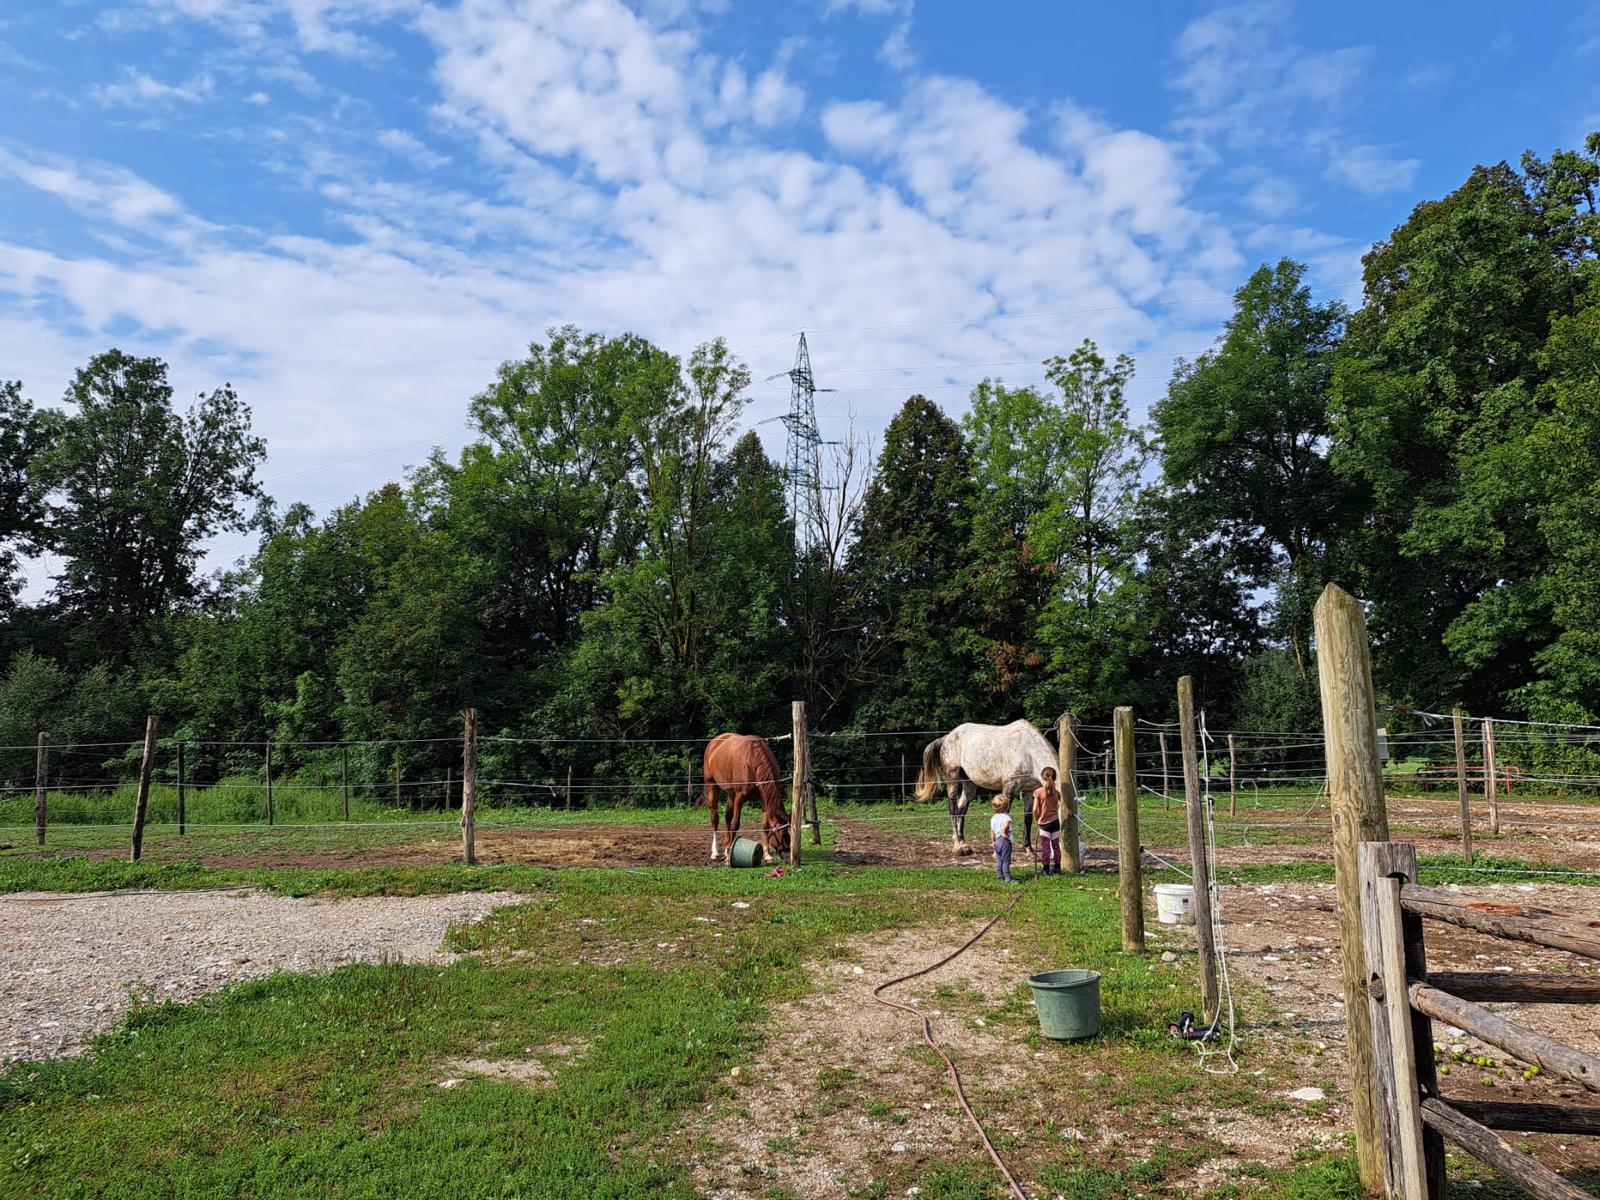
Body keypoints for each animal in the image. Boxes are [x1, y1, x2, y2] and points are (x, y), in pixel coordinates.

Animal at [702, 732, 791, 864]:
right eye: (782, 834)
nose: (789, 858)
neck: (753, 761)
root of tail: (715, 741)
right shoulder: (740, 797)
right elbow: (735, 824)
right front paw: (728, 856)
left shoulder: (764, 798)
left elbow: (765, 825)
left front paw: (767, 854)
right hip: (712, 786)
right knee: (715, 818)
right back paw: (715, 852)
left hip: (731, 793)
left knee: (727, 816)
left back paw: (726, 848)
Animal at [913, 719, 1059, 854]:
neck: (1027, 752)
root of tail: (947, 737)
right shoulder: (1009, 789)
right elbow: (1005, 817)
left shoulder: (1029, 791)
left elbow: (1027, 819)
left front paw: (1028, 848)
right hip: (952, 777)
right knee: (953, 809)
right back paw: (958, 847)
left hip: (969, 784)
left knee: (961, 810)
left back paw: (963, 843)